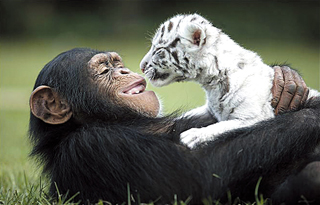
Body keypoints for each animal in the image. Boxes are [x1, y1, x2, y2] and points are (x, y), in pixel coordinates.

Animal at [28, 47, 320, 203]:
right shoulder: (94, 147)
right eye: (103, 71)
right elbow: (197, 181)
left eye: (116, 63)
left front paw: (286, 80)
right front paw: (312, 115)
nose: (124, 71)